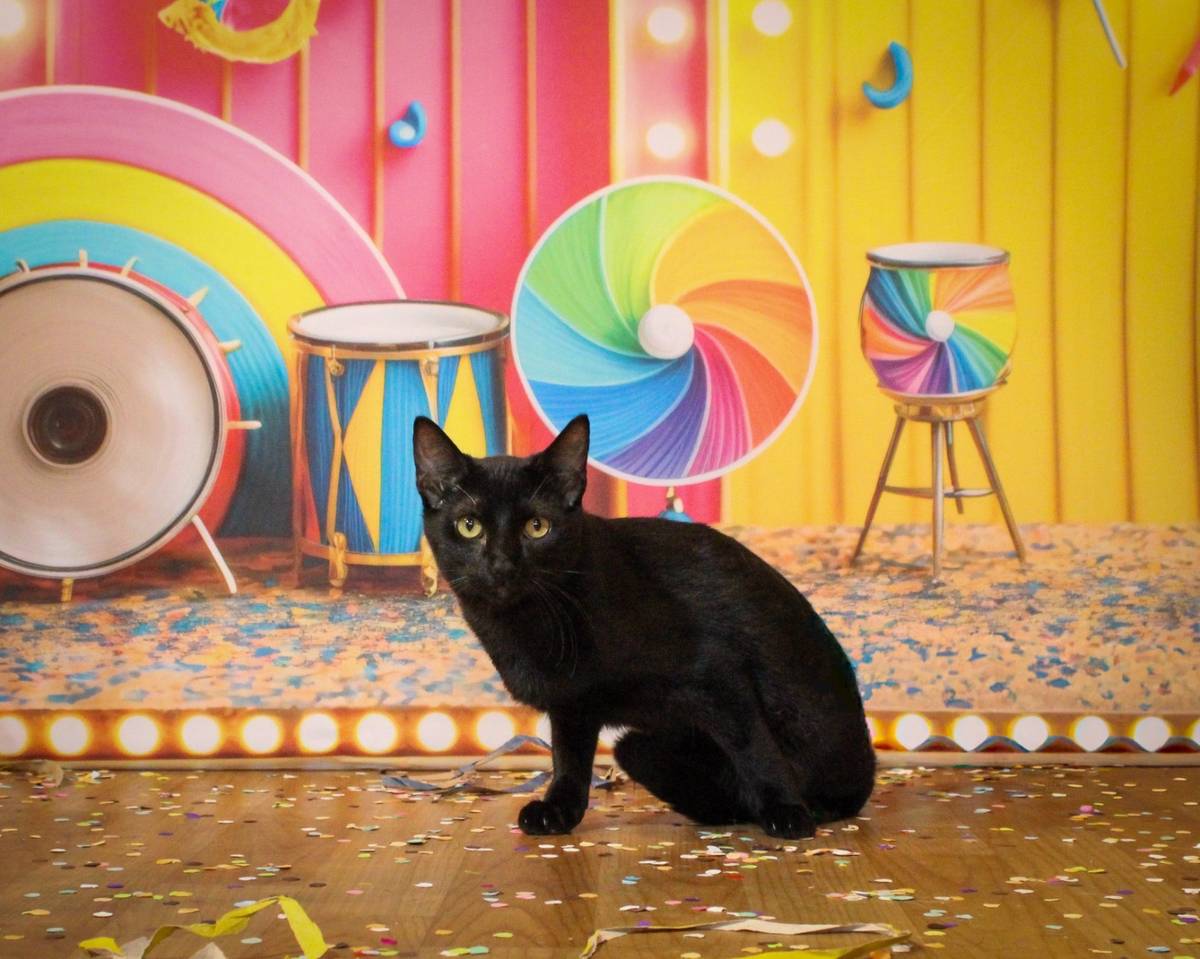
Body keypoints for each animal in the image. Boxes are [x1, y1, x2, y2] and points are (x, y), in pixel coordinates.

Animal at [412, 413, 875, 838]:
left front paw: (785, 809)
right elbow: (569, 761)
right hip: (638, 746)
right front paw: (559, 810)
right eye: (469, 526)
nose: (502, 564)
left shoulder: (717, 673)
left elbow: (754, 745)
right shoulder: (572, 704)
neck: (529, 624)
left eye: (537, 527)